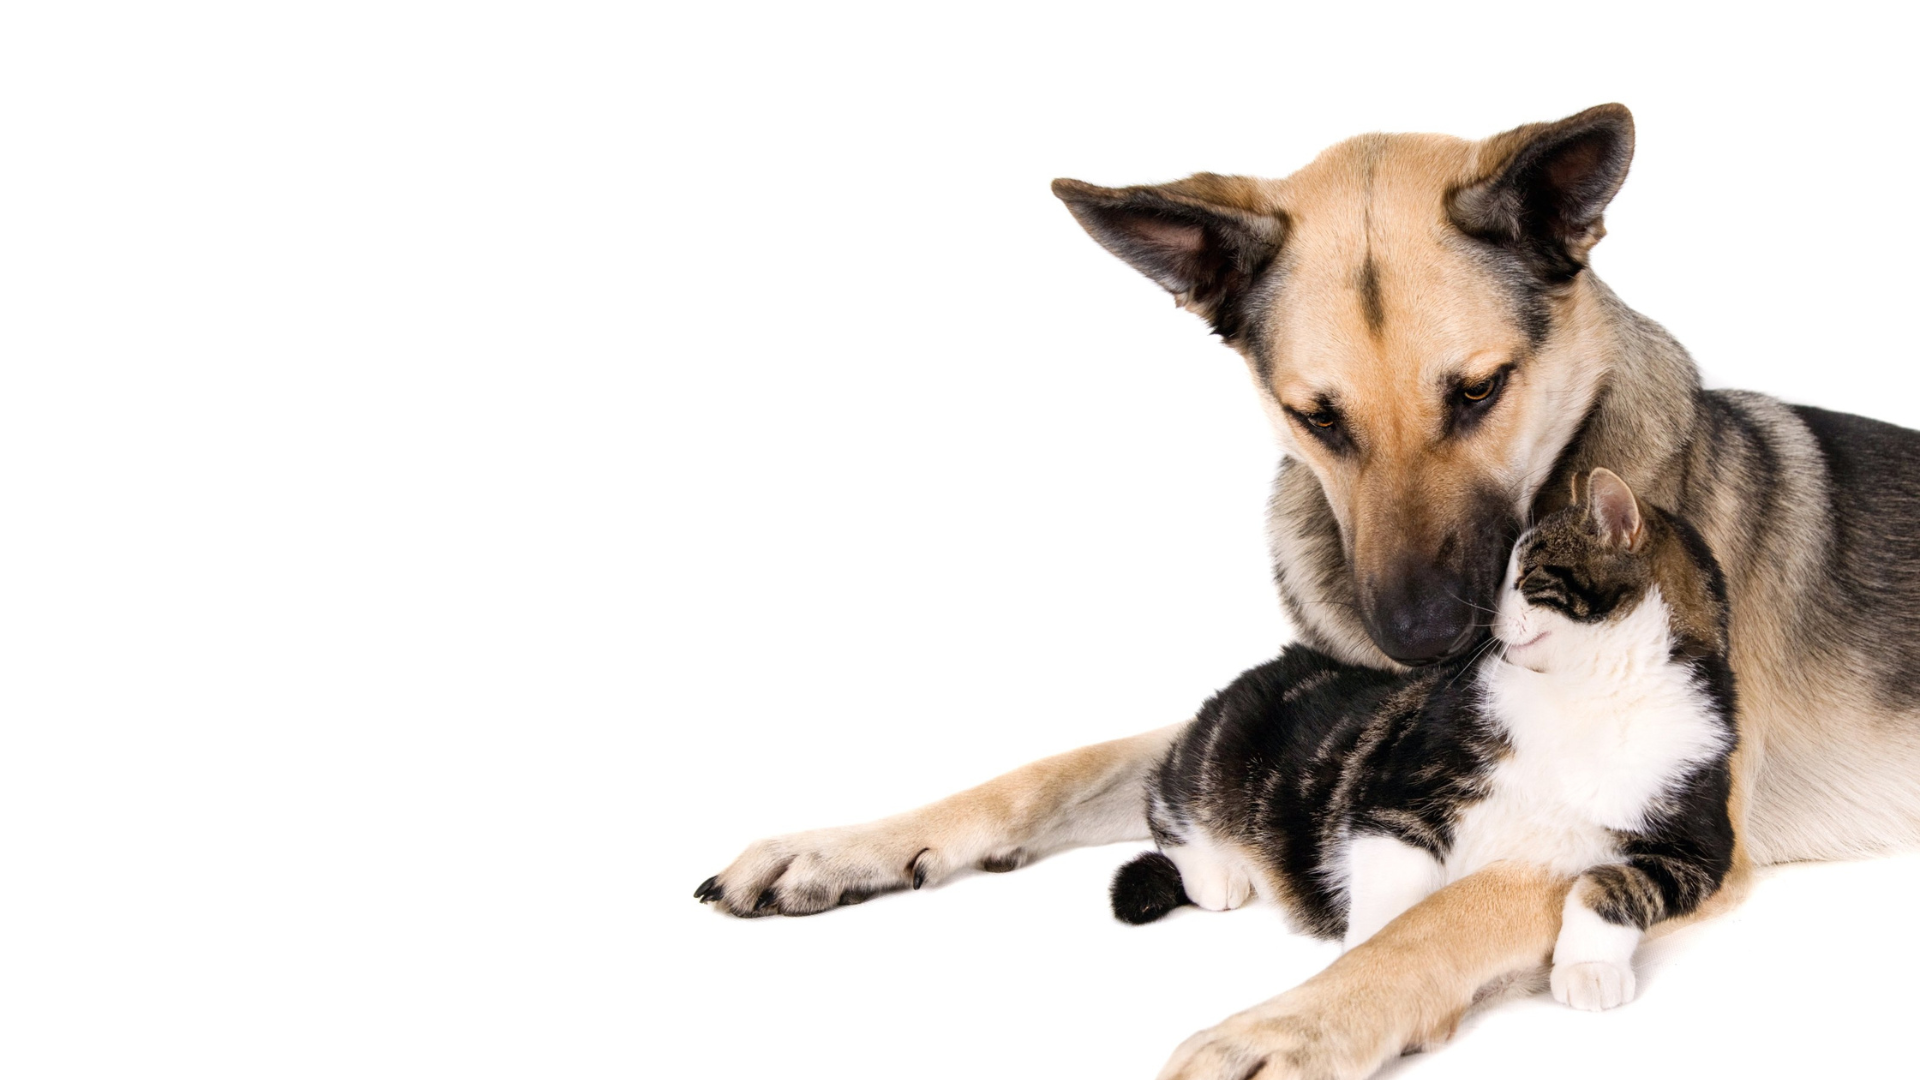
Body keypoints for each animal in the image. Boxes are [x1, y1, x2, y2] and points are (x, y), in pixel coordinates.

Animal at [1111, 468, 1737, 1011]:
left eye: (1528, 577)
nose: (1486, 624)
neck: (1591, 691)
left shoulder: (1699, 844)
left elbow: (1614, 886)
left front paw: (1589, 967)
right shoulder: (1400, 789)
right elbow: (1392, 875)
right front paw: (1366, 960)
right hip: (1221, 752)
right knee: (1164, 796)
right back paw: (1214, 872)